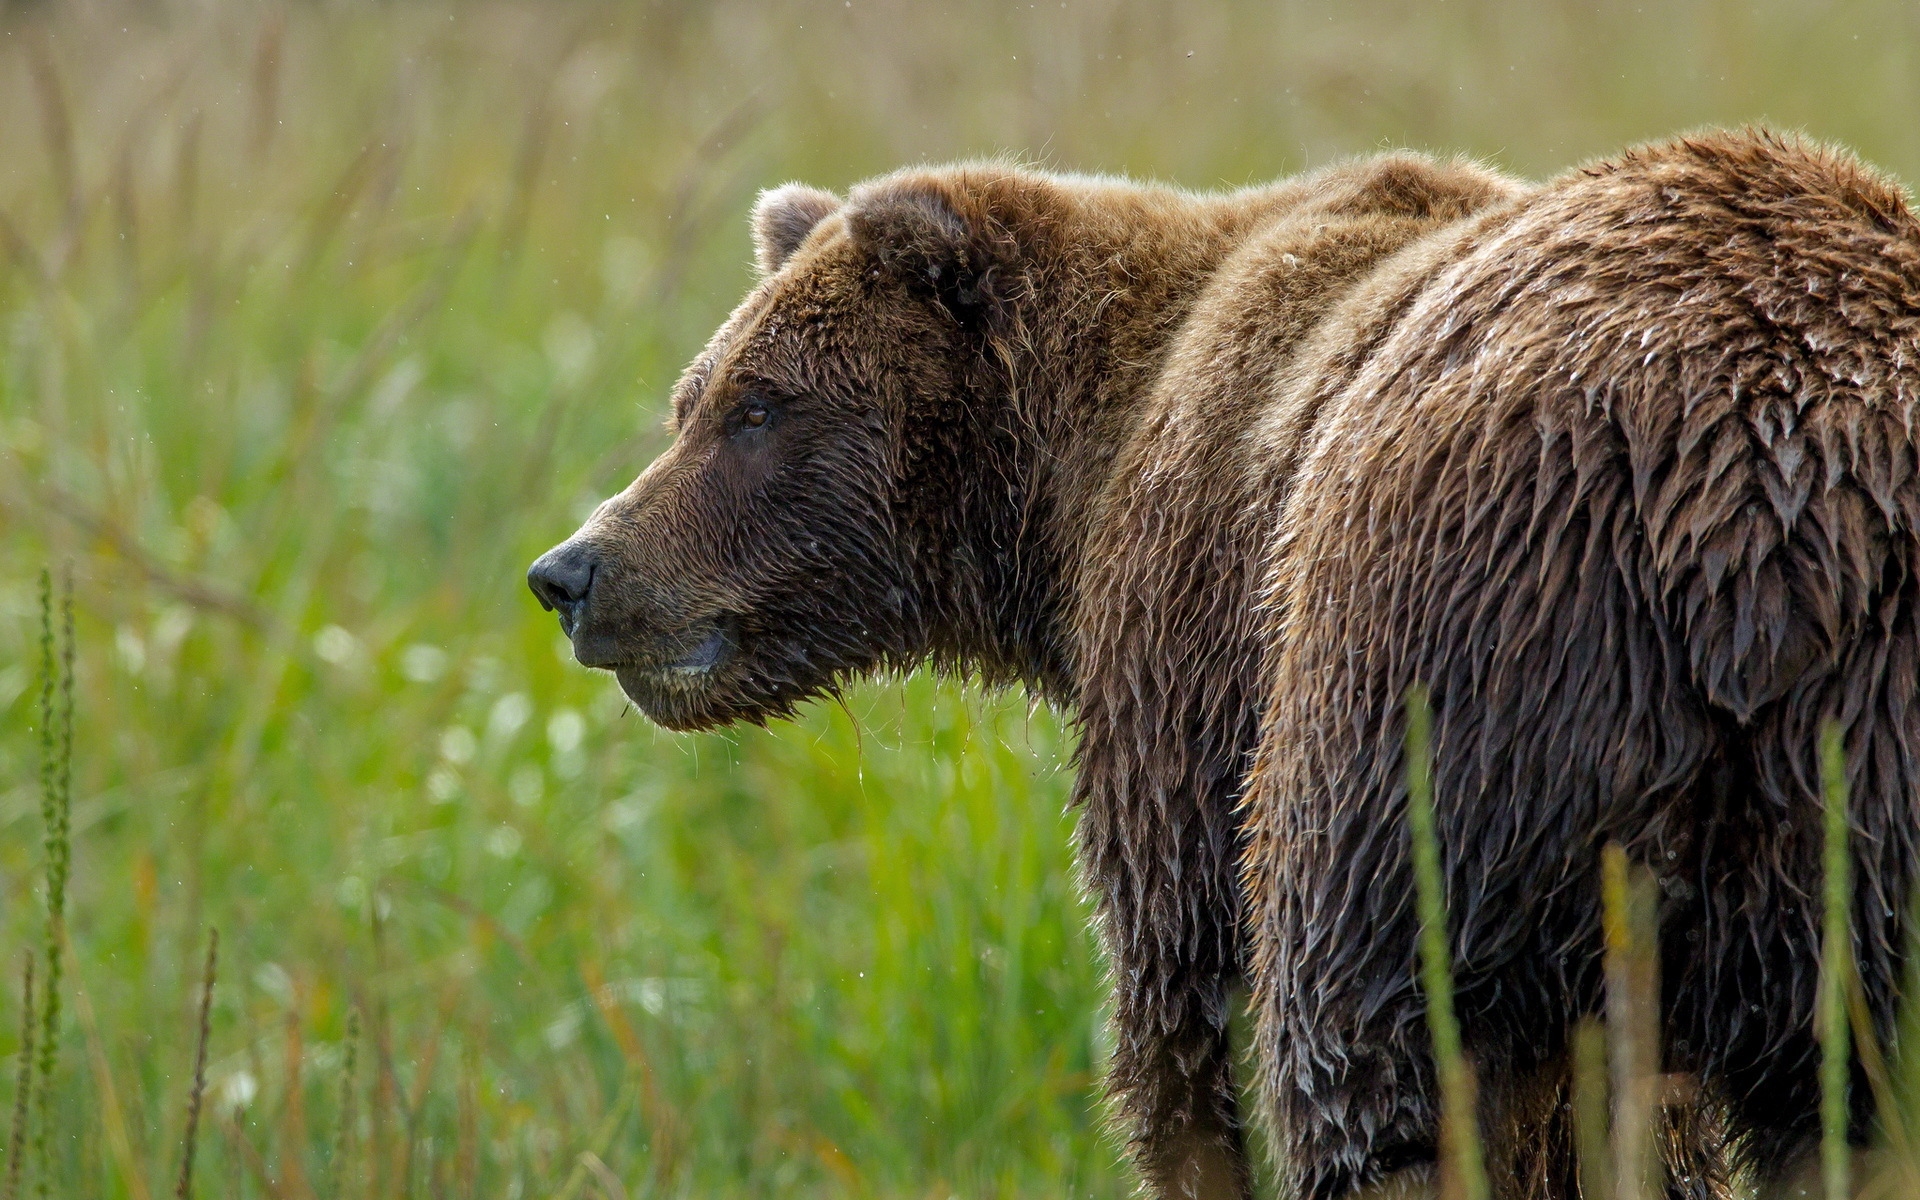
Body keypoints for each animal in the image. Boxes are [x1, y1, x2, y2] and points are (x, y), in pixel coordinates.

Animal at [533, 130, 1920, 1198]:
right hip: (1851, 788)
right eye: (693, 400)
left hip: (1443, 687)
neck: (1066, 492)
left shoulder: (1186, 656)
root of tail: (1751, 514)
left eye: (757, 407)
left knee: (1368, 1056)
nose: (574, 570)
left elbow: (1177, 1013)